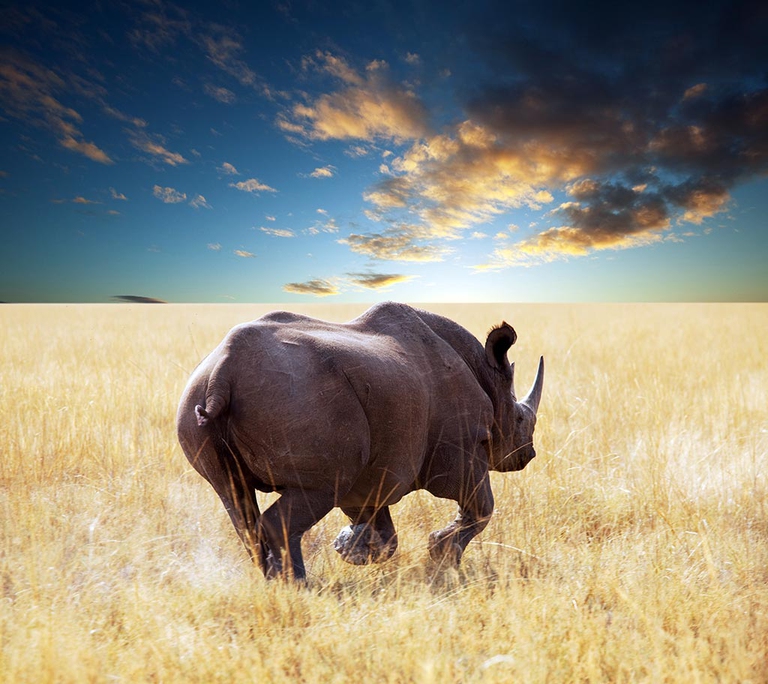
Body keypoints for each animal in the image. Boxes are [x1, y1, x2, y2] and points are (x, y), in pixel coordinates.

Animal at [177, 302, 543, 580]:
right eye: (521, 420)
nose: (528, 455)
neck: (489, 381)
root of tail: (223, 370)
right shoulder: (461, 450)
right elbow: (481, 508)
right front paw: (441, 556)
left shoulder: (373, 473)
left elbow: (383, 530)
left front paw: (349, 547)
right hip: (299, 398)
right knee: (314, 491)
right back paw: (298, 585)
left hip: (205, 397)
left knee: (234, 497)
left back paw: (277, 580)